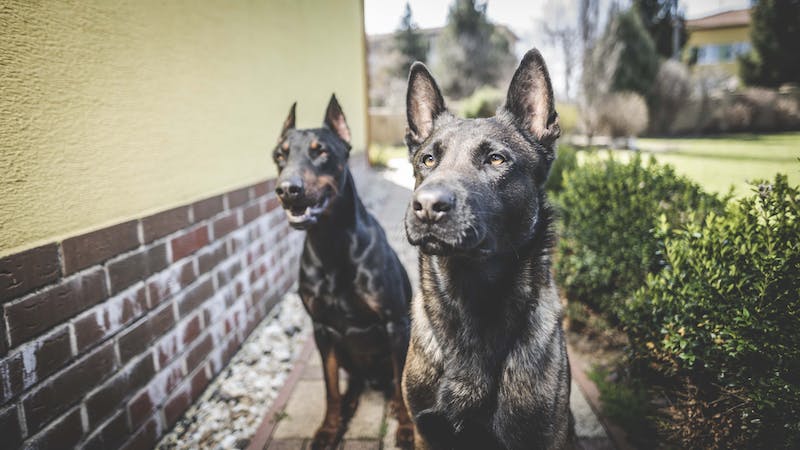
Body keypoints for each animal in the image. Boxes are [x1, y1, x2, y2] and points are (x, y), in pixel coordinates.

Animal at [274, 96, 416, 450]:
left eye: (321, 151)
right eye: (280, 155)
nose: (286, 189)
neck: (331, 243)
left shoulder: (395, 322)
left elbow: (402, 383)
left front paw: (407, 430)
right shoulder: (322, 328)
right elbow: (329, 387)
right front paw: (328, 429)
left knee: (396, 383)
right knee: (352, 382)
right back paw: (350, 404)